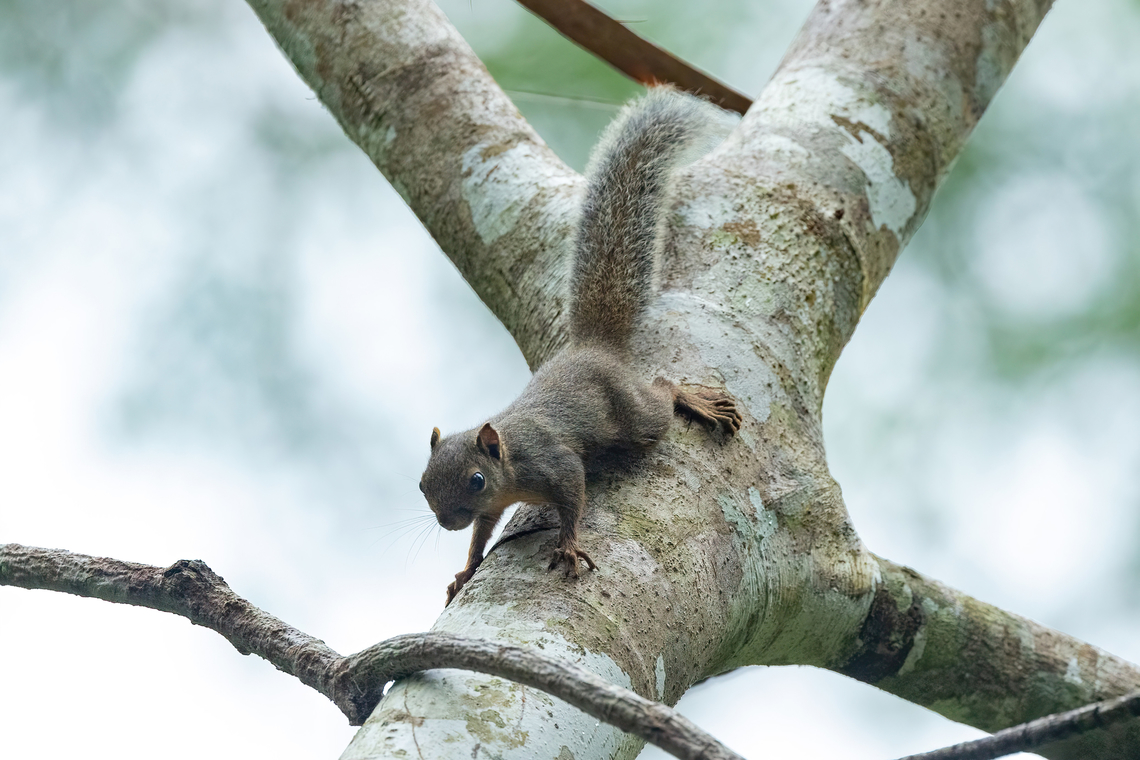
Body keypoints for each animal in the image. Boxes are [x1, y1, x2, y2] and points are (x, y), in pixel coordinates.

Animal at [419, 87, 742, 605]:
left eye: (476, 479)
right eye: (422, 484)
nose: (448, 522)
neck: (509, 462)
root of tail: (594, 347)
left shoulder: (553, 462)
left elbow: (574, 497)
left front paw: (569, 545)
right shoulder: (490, 509)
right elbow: (481, 534)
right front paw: (465, 569)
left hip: (634, 416)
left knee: (660, 393)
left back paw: (693, 399)